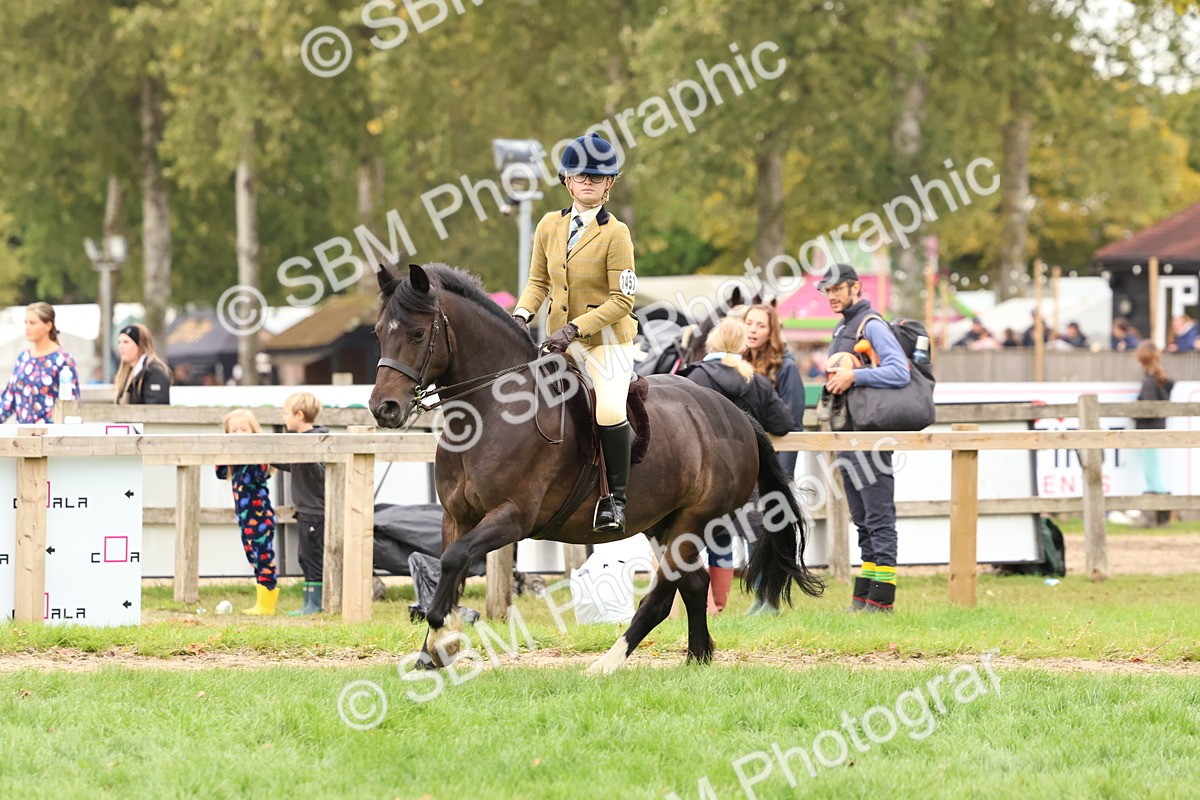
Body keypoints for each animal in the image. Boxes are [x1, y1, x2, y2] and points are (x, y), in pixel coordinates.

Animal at [369, 263, 821, 674]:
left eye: (417, 334)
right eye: (378, 332)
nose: (383, 408)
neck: (492, 409)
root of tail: (739, 415)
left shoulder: (513, 517)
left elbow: (454, 559)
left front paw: (440, 631)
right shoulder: (456, 516)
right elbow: (452, 566)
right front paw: (434, 649)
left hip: (693, 522)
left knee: (662, 596)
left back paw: (606, 663)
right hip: (663, 523)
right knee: (693, 585)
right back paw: (697, 657)